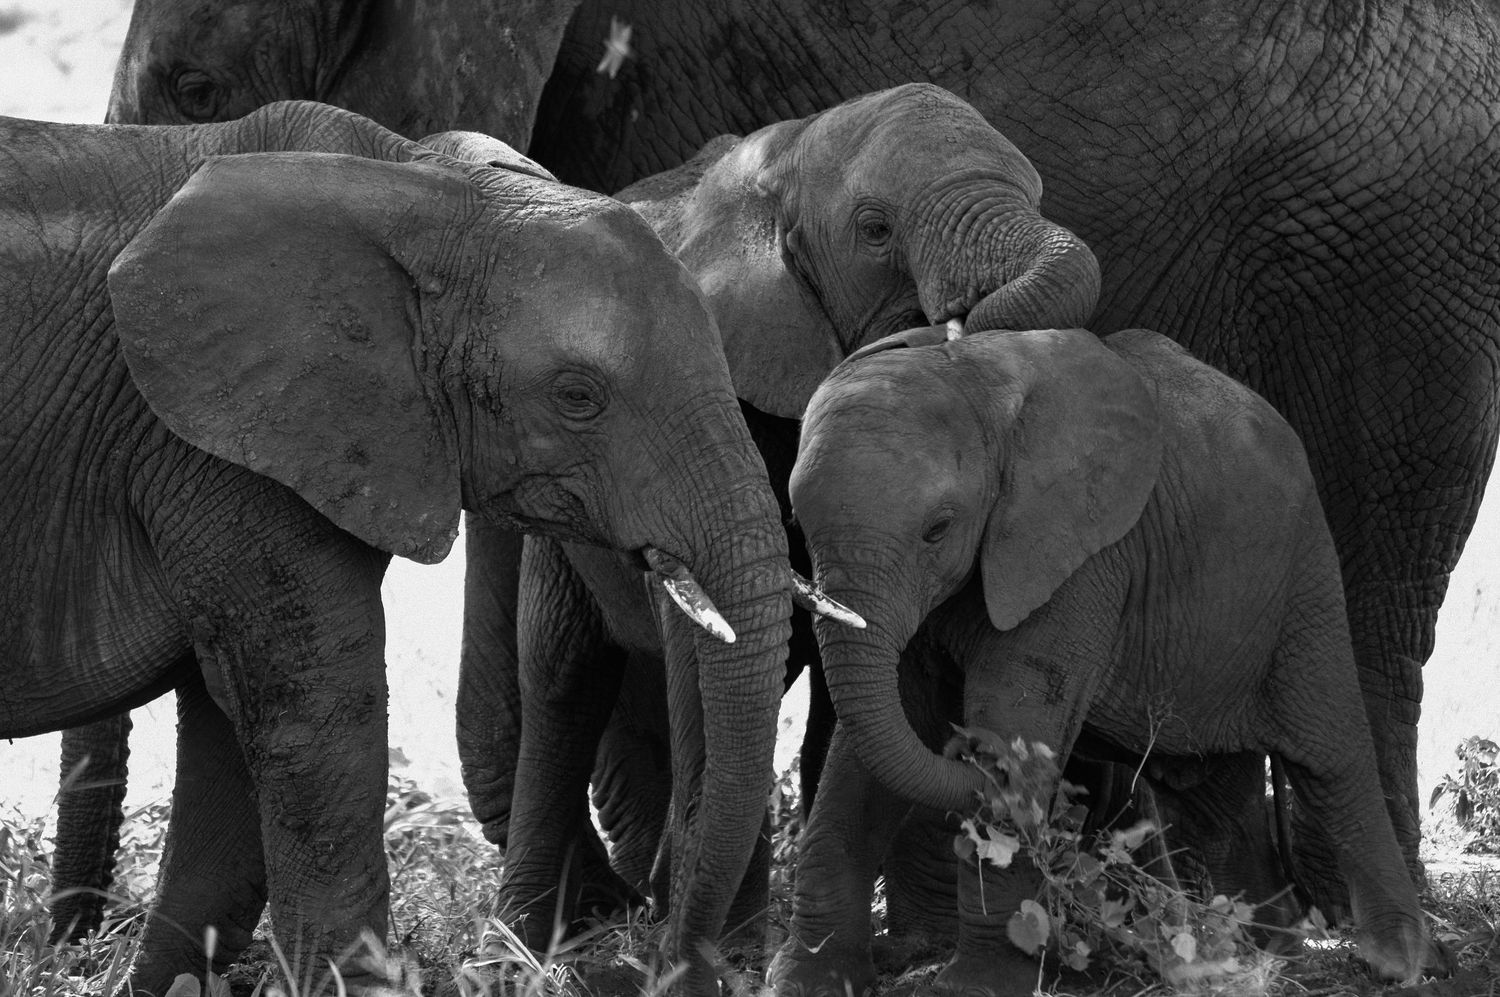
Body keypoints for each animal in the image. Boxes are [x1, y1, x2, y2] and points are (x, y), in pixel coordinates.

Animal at [1, 100, 798, 995]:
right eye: (578, 396)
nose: (674, 958)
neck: (424, 187)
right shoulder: (222, 440)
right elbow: (314, 704)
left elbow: (231, 731)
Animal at [461, 82, 1100, 953]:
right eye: (876, 229)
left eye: (1036, 195)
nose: (956, 324)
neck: (786, 157)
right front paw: (727, 947)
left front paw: (905, 947)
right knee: (564, 669)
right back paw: (546, 931)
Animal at [772, 324, 1450, 997]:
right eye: (796, 523)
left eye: (937, 529)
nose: (965, 752)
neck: (973, 375)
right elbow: (876, 748)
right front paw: (807, 980)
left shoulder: (1081, 554)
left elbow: (1015, 721)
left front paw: (975, 988)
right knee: (1216, 789)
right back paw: (1250, 956)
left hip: (1304, 572)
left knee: (1330, 755)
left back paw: (1397, 961)